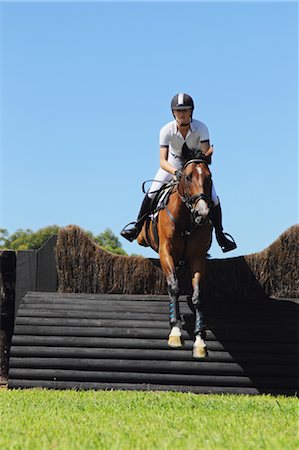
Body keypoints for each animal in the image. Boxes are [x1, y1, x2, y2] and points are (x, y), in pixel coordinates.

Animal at [138, 157, 213, 358]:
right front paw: (175, 332)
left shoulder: (198, 258)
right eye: (187, 177)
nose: (202, 213)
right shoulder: (166, 252)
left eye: (209, 177)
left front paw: (200, 341)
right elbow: (174, 287)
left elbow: (197, 296)